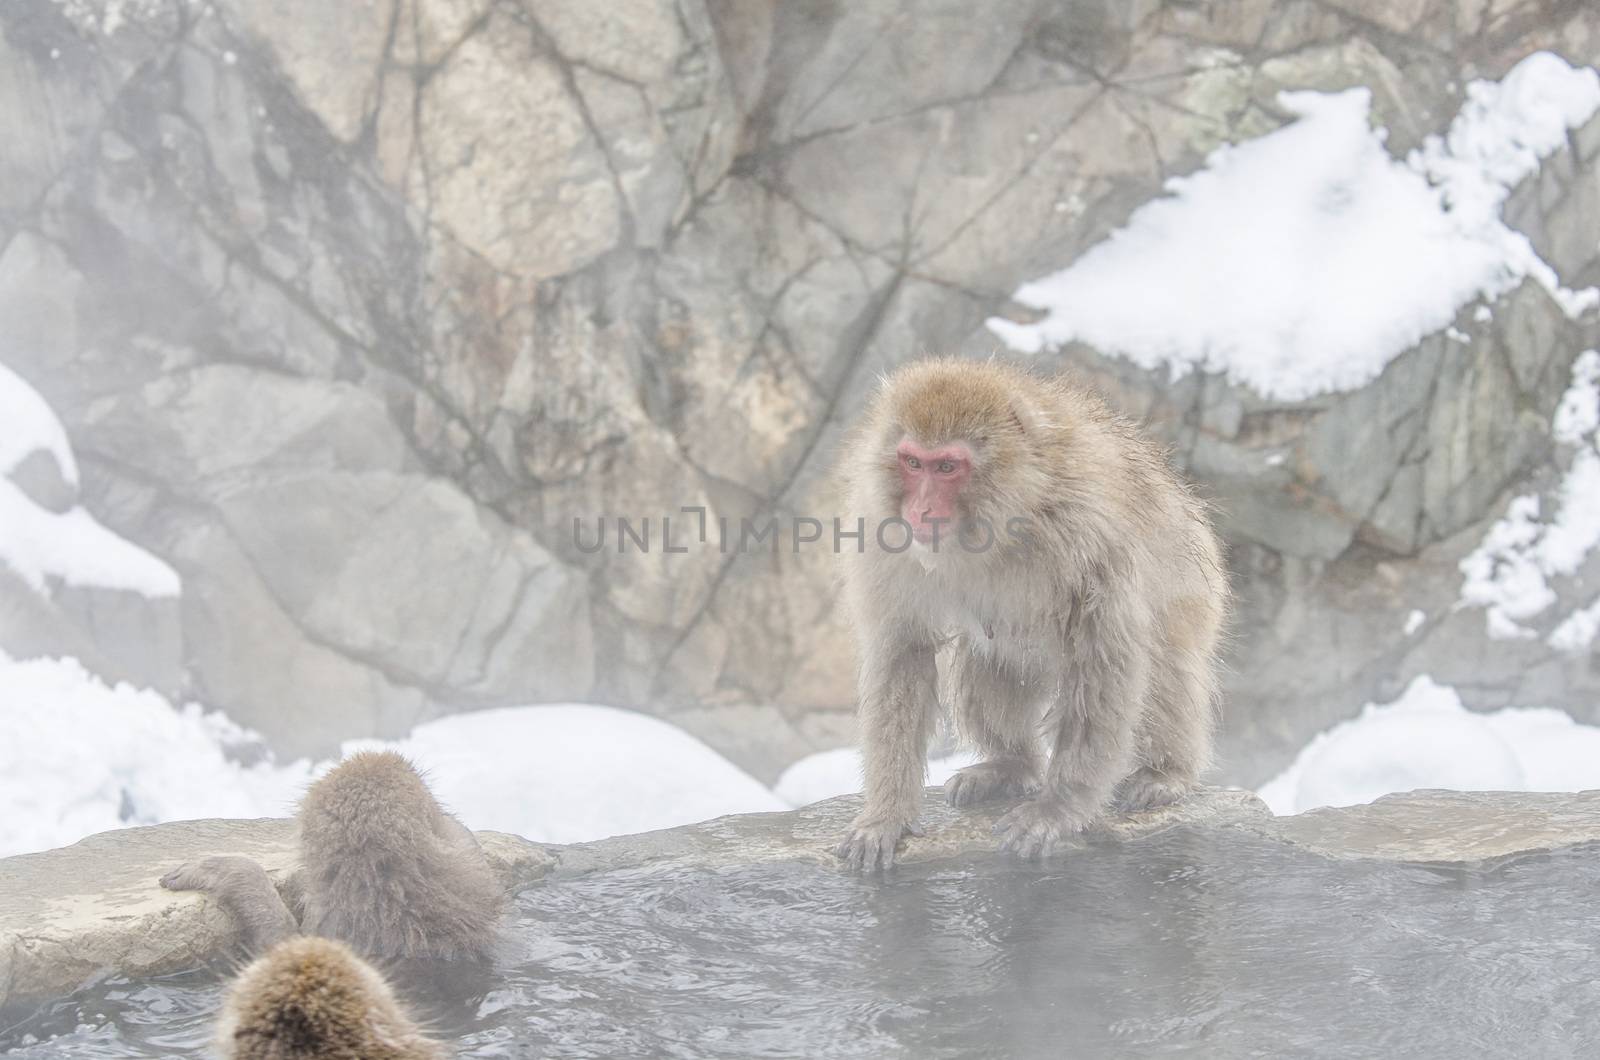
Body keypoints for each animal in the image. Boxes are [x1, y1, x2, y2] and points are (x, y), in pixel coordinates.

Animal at [832, 357, 1228, 871]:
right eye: (913, 462)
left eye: (947, 466)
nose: (919, 510)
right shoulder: (884, 538)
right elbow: (904, 650)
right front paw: (887, 814)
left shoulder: (1090, 537)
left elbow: (1103, 661)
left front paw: (1057, 808)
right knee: (984, 665)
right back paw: (1010, 766)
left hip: (1195, 589)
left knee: (1164, 667)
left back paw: (1166, 773)